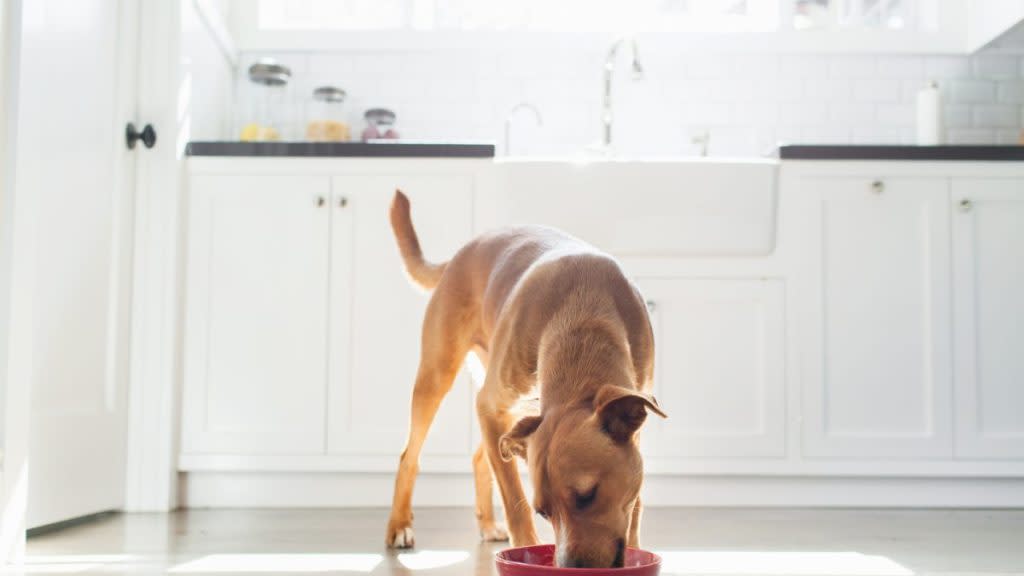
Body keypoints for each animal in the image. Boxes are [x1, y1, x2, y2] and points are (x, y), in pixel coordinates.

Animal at [385, 189, 663, 565]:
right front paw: (525, 547)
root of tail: (460, 253)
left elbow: (635, 502)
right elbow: (515, 502)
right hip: (438, 375)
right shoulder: (490, 407)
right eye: (544, 512)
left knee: (481, 457)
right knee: (410, 457)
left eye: (587, 495)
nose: (570, 567)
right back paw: (399, 525)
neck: (583, 319)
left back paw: (487, 524)